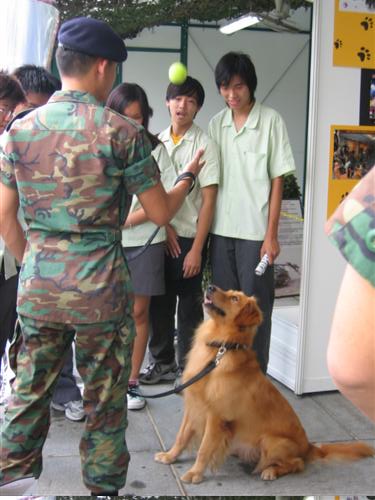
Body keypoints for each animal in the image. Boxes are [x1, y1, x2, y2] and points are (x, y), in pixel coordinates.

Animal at [154, 286, 374, 484]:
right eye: (228, 291)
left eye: (234, 298)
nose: (209, 286)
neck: (220, 349)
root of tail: (309, 446)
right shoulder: (194, 406)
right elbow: (181, 436)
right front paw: (170, 456)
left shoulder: (216, 417)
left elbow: (204, 449)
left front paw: (194, 473)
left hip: (272, 441)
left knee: (297, 463)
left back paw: (270, 471)